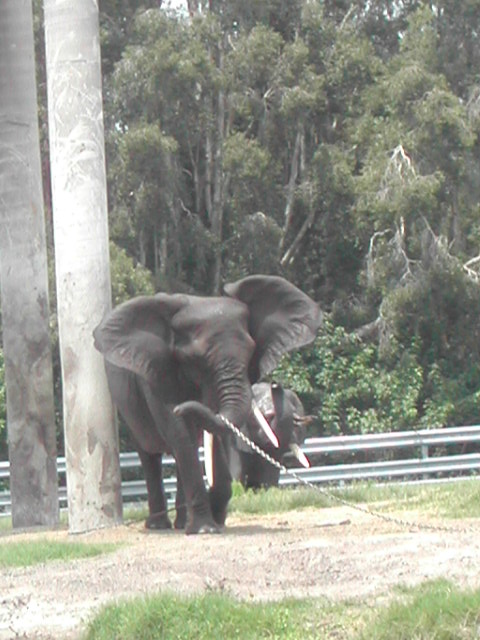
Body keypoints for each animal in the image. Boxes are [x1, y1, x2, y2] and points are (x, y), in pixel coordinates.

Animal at [93, 272, 322, 532]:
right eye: (194, 359)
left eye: (251, 351)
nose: (276, 385)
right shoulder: (158, 372)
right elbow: (180, 433)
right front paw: (205, 529)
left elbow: (217, 434)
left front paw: (216, 521)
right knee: (152, 452)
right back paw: (159, 526)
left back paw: (182, 523)